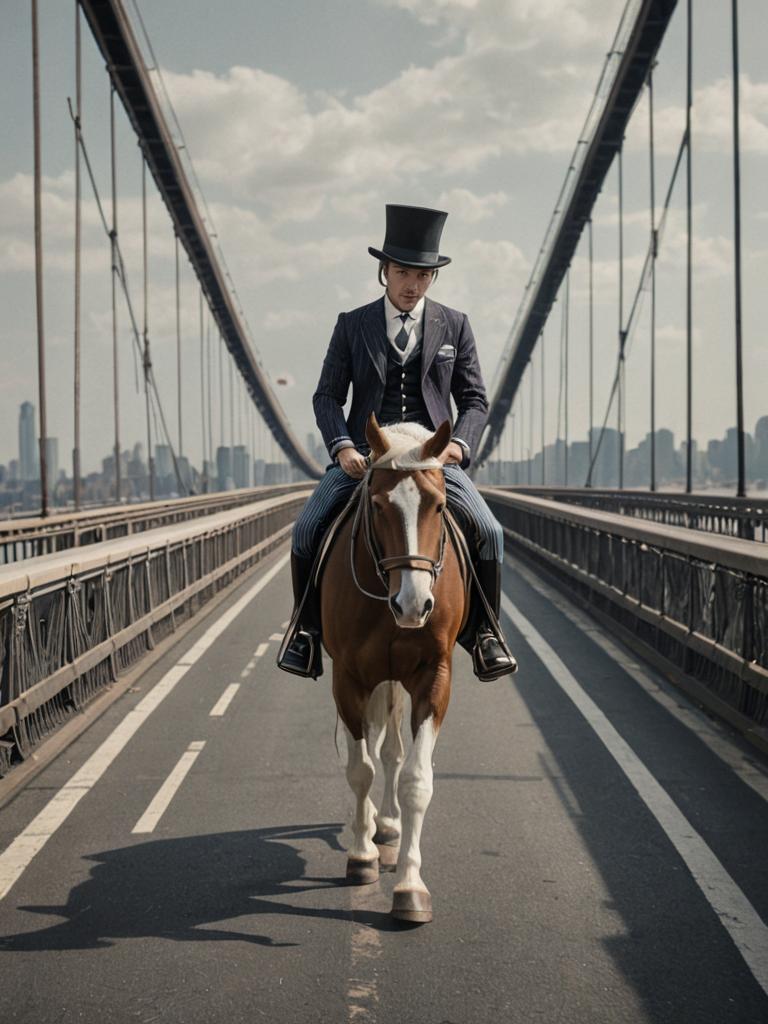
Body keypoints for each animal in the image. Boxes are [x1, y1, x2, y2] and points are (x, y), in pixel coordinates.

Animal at [319, 411, 468, 925]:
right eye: (379, 505)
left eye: (439, 506)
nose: (414, 604)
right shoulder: (348, 678)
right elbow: (358, 768)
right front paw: (362, 856)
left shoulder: (433, 677)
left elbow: (415, 779)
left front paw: (409, 887)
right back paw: (369, 830)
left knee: (392, 751)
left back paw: (385, 825)